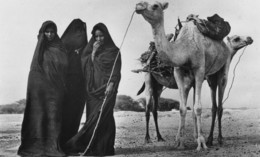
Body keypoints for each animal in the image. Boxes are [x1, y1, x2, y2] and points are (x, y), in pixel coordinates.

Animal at [135, 1, 253, 151]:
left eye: (155, 5)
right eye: (237, 38)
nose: (138, 5)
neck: (185, 48)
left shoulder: (199, 73)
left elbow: (194, 108)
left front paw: (197, 141)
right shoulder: (179, 73)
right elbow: (184, 108)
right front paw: (184, 141)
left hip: (218, 74)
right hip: (150, 79)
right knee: (149, 108)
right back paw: (149, 138)